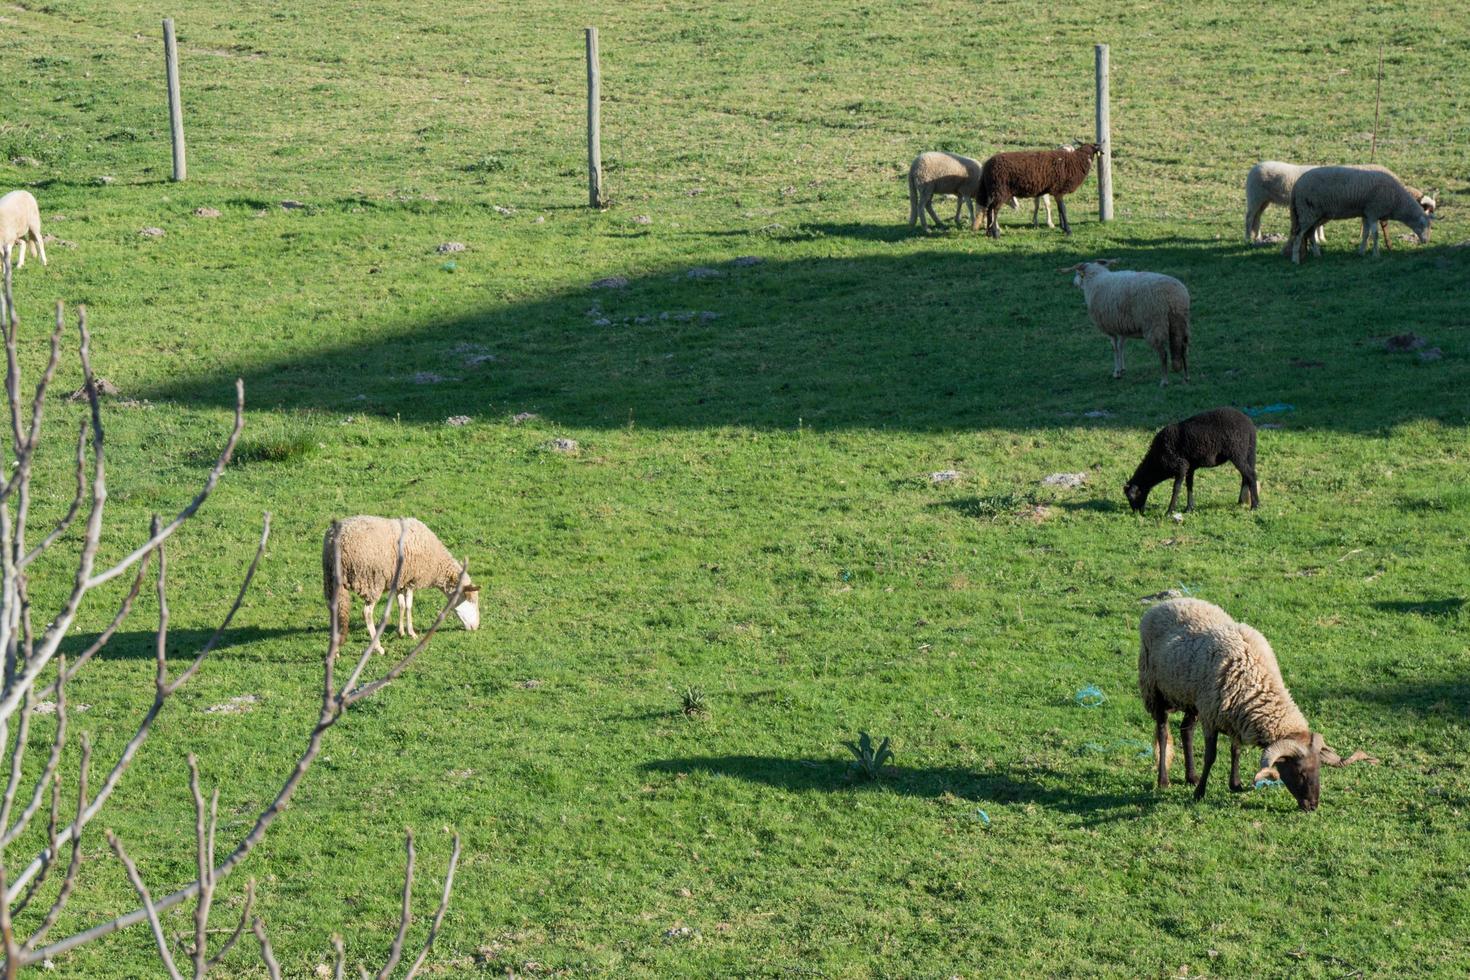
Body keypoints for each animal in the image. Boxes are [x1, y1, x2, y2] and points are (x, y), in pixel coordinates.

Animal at [323, 517, 479, 655]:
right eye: (470, 599)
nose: (476, 627)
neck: (437, 563)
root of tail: (333, 543)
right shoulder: (411, 580)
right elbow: (409, 605)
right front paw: (411, 633)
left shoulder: (399, 581)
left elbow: (401, 605)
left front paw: (401, 632)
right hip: (371, 580)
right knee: (366, 613)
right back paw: (378, 648)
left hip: (332, 581)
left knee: (338, 611)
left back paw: (335, 651)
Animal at [970, 141, 1099, 238]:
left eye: (1092, 152)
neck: (1072, 161)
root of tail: (987, 165)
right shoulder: (1058, 190)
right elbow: (1063, 209)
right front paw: (1068, 230)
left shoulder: (1055, 191)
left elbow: (1059, 209)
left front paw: (1062, 227)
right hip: (1000, 190)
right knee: (994, 209)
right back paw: (995, 233)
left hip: (994, 191)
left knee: (989, 209)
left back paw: (988, 233)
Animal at [1117, 405, 1258, 514]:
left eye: (1131, 497)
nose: (1136, 513)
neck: (1157, 461)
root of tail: (1249, 424)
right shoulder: (1190, 467)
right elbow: (1189, 485)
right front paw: (1189, 508)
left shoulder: (1181, 466)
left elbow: (1176, 488)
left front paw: (1169, 512)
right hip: (1247, 452)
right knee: (1246, 475)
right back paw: (1241, 501)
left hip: (1236, 451)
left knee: (1250, 475)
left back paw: (1255, 506)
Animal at [1134, 599, 1364, 811]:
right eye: (1299, 771)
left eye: (1319, 769)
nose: (1312, 806)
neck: (1256, 681)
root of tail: (1169, 601)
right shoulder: (1211, 718)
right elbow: (1210, 757)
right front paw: (1199, 793)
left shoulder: (1234, 718)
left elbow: (1235, 751)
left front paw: (1235, 784)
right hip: (1155, 689)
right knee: (1163, 733)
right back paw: (1164, 780)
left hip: (1191, 698)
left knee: (1186, 730)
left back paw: (1191, 776)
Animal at [1287, 166, 1434, 264]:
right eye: (1424, 225)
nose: (1426, 241)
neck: (1397, 200)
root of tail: (1296, 186)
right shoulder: (1374, 211)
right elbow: (1375, 234)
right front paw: (1376, 254)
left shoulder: (1366, 213)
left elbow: (1366, 234)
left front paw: (1361, 252)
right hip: (1307, 211)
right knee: (1298, 234)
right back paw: (1295, 259)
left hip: (1316, 214)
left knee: (1310, 233)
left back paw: (1317, 254)